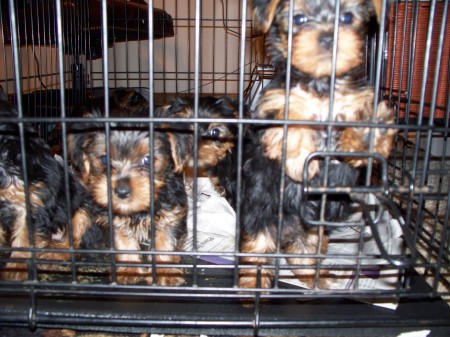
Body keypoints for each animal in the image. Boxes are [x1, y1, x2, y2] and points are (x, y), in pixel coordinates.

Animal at [0, 98, 96, 280]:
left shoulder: (32, 202)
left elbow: (25, 235)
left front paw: (16, 268)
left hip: (82, 210)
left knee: (74, 242)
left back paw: (53, 255)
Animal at [67, 93, 191, 284]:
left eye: (147, 160)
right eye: (104, 159)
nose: (122, 191)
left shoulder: (172, 211)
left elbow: (166, 240)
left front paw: (166, 272)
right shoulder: (114, 217)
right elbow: (123, 239)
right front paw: (130, 270)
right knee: (79, 217)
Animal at [239, 0, 394, 288]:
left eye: (347, 18)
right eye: (299, 19)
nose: (328, 38)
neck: (322, 86)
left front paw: (368, 133)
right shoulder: (277, 105)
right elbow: (292, 119)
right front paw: (300, 160)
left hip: (314, 224)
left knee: (305, 249)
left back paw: (315, 276)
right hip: (262, 210)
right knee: (257, 249)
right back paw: (252, 286)